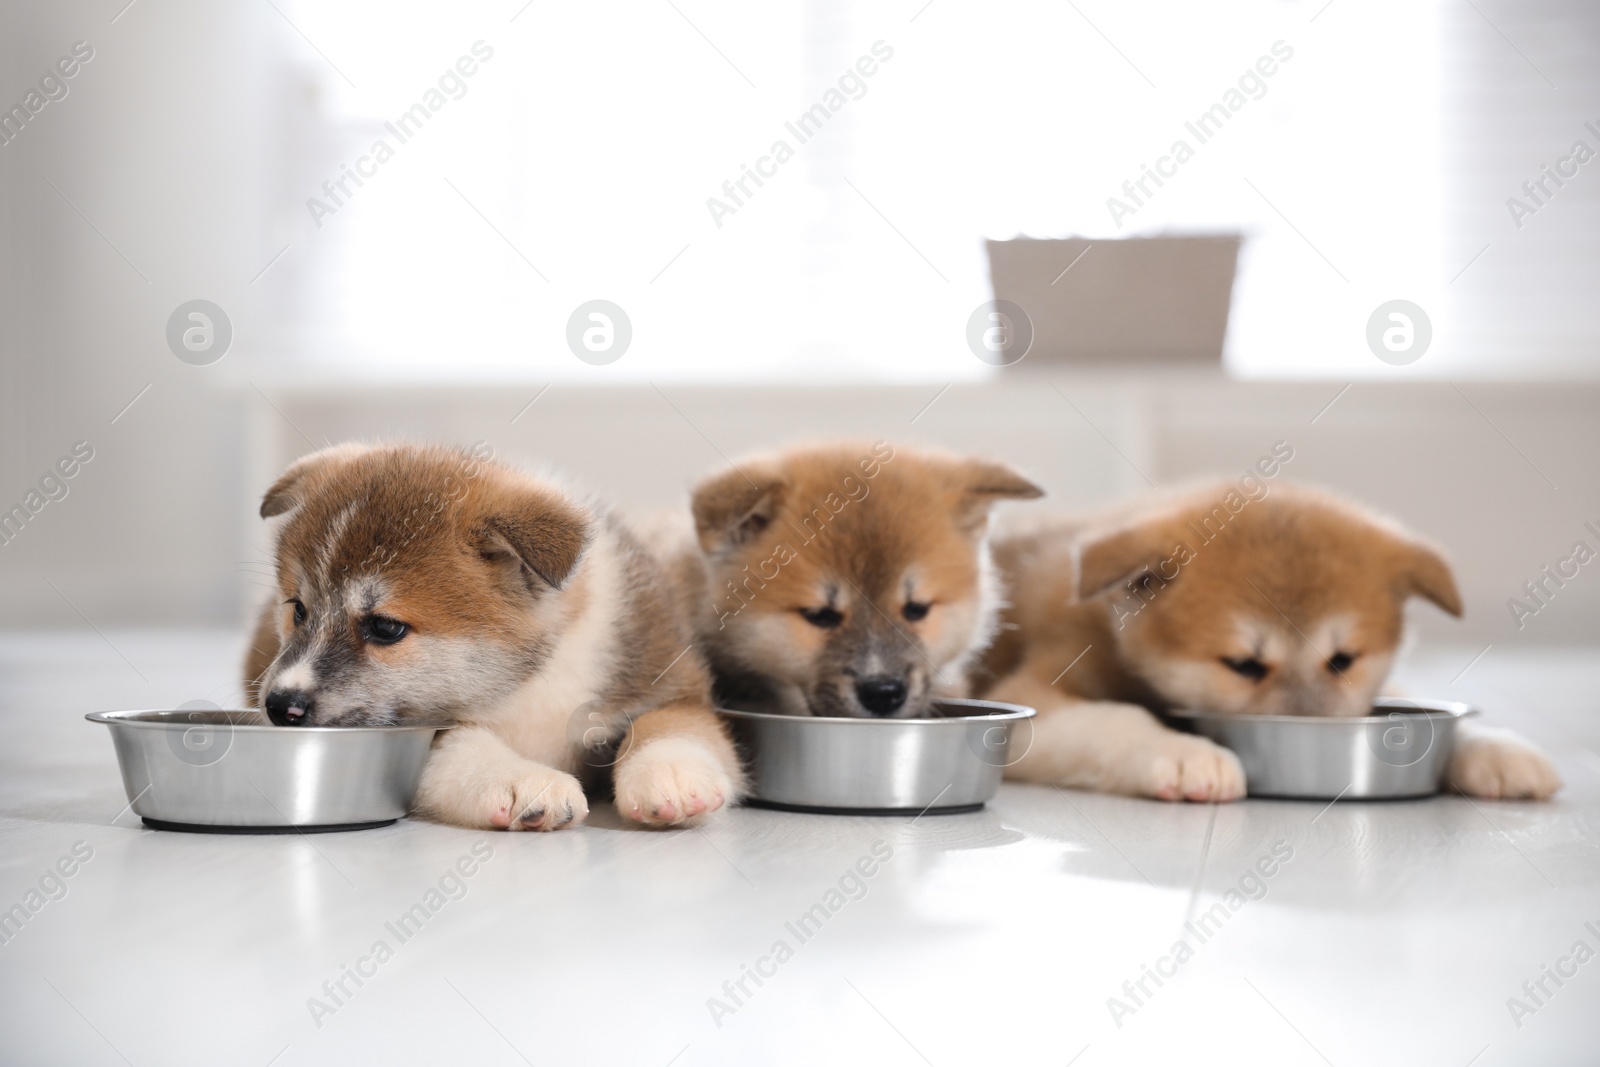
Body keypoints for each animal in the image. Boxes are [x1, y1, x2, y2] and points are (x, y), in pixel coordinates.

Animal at [243, 441, 742, 831]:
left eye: (385, 628)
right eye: (298, 609)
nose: (280, 705)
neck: (529, 682)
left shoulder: (670, 680)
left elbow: (670, 724)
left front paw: (672, 773)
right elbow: (462, 745)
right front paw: (524, 781)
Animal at [985, 483, 1561, 799]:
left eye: (1343, 659)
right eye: (1243, 665)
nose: (1312, 736)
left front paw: (1492, 747)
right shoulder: (1030, 693)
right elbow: (1114, 720)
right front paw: (1178, 750)